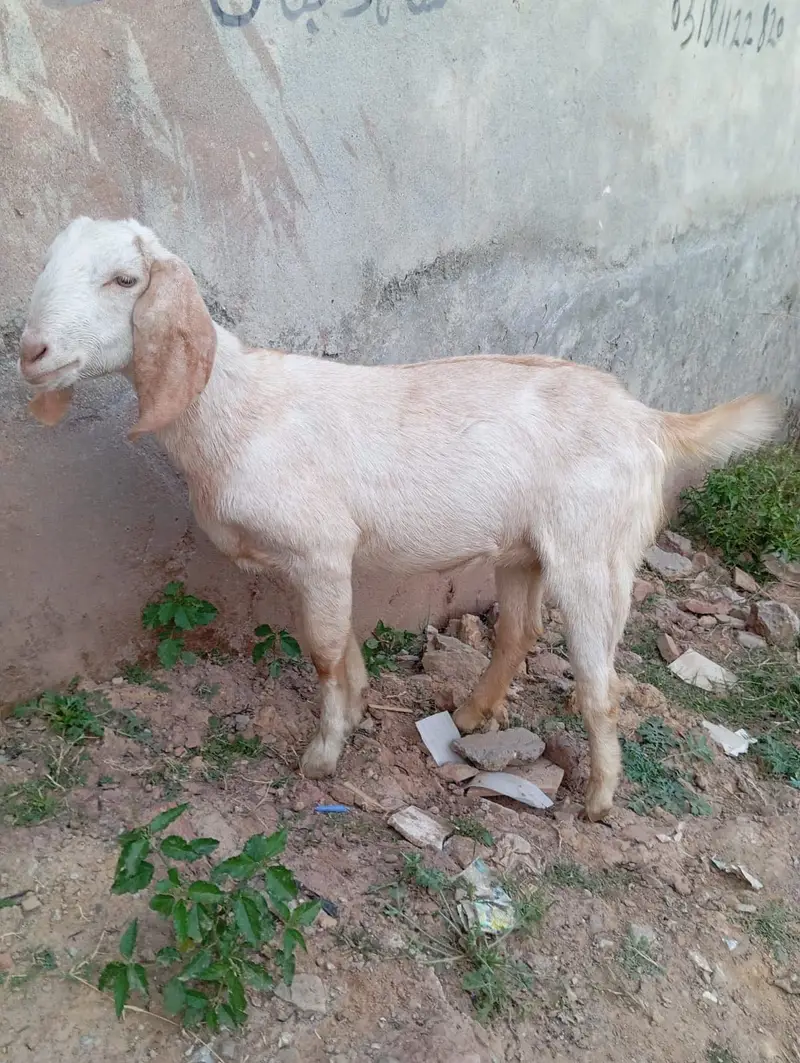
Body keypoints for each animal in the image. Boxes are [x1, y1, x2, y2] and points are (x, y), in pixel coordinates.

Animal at [18, 216, 782, 821]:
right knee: (520, 630)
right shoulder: (314, 563)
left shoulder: (321, 547)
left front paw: (322, 756)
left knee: (601, 681)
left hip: (594, 549)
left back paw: (598, 800)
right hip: (524, 549)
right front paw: (358, 706)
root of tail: (651, 419)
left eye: (124, 279)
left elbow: (323, 650)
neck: (236, 409)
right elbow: (340, 645)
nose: (31, 352)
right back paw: (473, 715)